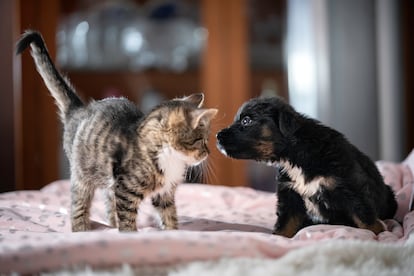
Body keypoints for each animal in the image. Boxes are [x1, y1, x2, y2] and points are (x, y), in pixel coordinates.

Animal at [16, 30, 218, 233]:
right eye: (201, 140)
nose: (208, 152)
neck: (169, 157)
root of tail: (79, 109)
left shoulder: (164, 193)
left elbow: (169, 216)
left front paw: (172, 233)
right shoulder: (125, 189)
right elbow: (127, 219)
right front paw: (129, 234)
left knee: (108, 204)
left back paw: (110, 226)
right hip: (81, 174)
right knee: (78, 205)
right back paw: (81, 230)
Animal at [217, 96, 398, 237]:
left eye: (246, 121)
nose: (217, 136)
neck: (294, 154)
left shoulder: (350, 187)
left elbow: (364, 216)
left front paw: (380, 234)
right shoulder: (289, 195)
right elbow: (285, 224)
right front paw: (278, 237)